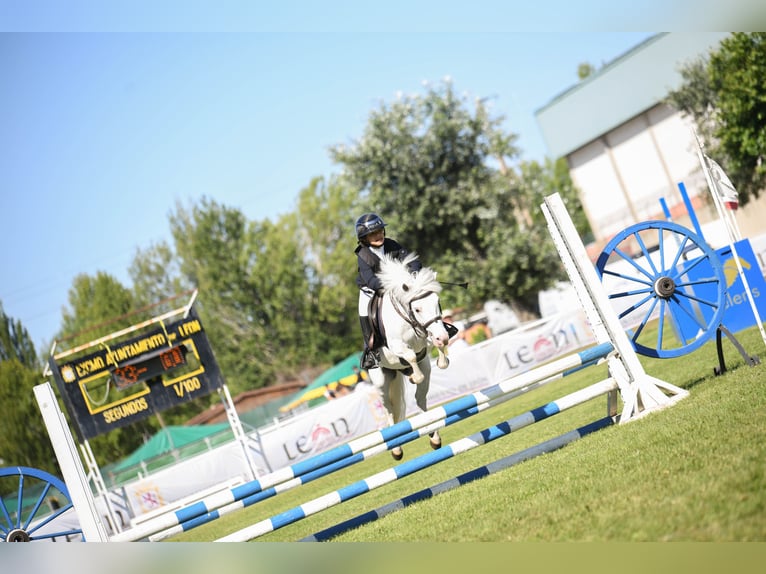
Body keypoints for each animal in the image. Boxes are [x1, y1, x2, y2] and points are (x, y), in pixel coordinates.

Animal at [368, 254, 452, 462]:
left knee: (420, 400)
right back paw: (396, 449)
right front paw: (416, 375)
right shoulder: (397, 346)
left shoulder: (429, 337)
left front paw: (442, 360)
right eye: (418, 309)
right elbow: (410, 356)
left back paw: (433, 436)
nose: (443, 337)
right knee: (389, 410)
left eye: (437, 302)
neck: (408, 319)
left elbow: (435, 347)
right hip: (381, 382)